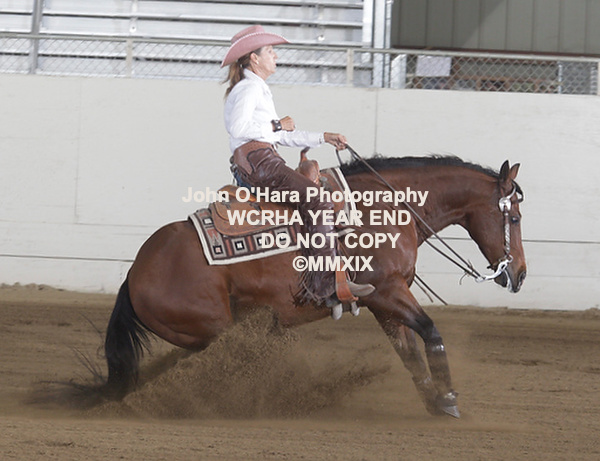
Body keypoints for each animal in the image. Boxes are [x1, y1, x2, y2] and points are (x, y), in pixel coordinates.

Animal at [103, 155, 526, 418]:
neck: (387, 208)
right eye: (515, 218)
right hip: (218, 330)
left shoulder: (383, 303)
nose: (520, 274)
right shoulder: (389, 291)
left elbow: (409, 353)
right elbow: (431, 334)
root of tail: (136, 274)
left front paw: (433, 401)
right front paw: (449, 400)